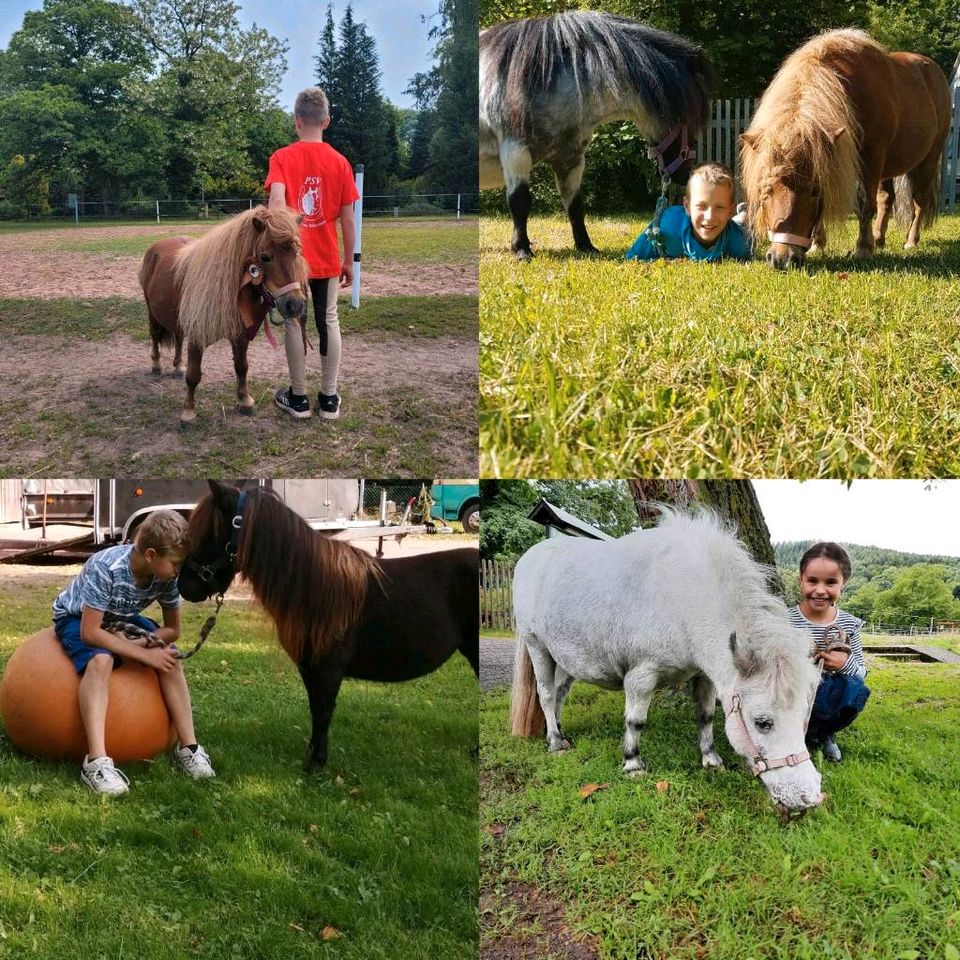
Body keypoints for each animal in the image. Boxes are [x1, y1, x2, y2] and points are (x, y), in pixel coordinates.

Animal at [139, 210, 308, 424]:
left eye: (296, 253)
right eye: (265, 257)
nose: (295, 304)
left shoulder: (240, 335)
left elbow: (242, 367)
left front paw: (245, 401)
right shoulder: (197, 337)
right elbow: (194, 376)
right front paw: (188, 412)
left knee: (178, 338)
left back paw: (178, 367)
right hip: (152, 312)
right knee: (154, 336)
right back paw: (156, 366)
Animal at [178, 480, 478, 772]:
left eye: (208, 532)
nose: (184, 587)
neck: (315, 586)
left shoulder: (328, 670)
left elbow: (323, 712)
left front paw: (316, 764)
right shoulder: (310, 668)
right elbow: (315, 709)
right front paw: (312, 755)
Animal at [480, 12, 712, 258]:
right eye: (684, 116)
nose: (685, 173)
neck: (543, 81)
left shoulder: (571, 159)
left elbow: (575, 204)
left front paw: (586, 246)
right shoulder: (516, 152)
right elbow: (520, 201)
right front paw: (522, 250)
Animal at [740, 29, 948, 268]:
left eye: (814, 192)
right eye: (766, 192)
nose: (782, 258)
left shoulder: (871, 159)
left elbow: (865, 204)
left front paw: (863, 249)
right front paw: (818, 244)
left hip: (928, 160)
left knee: (919, 201)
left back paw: (910, 241)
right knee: (886, 198)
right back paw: (879, 238)